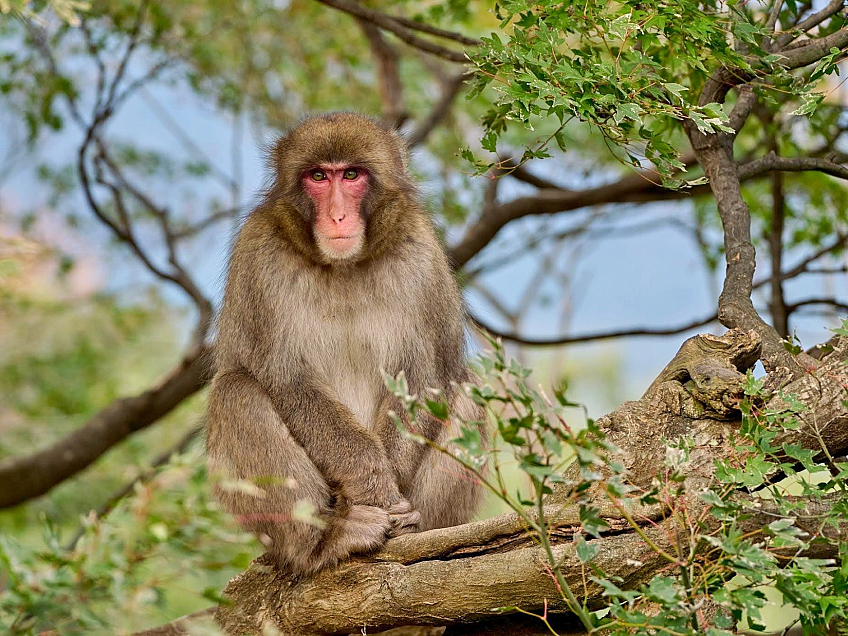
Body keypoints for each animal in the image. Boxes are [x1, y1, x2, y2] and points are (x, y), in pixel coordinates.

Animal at [205, 110, 486, 576]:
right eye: (319, 176)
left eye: (351, 175)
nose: (337, 216)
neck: (344, 266)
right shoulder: (260, 254)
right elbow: (288, 381)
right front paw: (372, 481)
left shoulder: (421, 253)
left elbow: (424, 379)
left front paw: (392, 494)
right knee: (236, 393)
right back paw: (323, 541)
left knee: (468, 391)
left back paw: (417, 526)